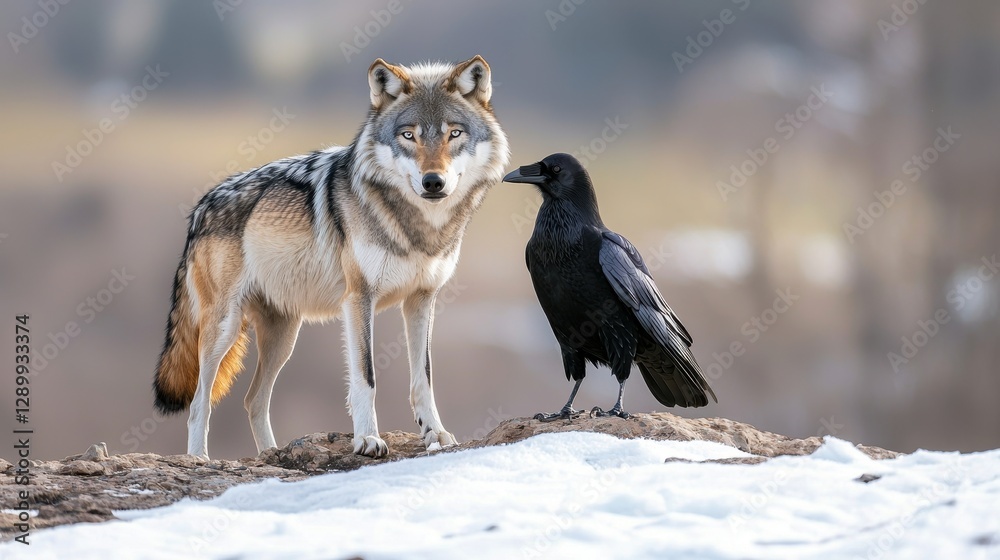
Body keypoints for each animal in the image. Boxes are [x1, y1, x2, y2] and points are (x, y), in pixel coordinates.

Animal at [153, 56, 509, 459]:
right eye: (408, 136)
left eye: (454, 134)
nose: (433, 182)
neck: (420, 229)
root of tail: (201, 207)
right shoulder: (359, 299)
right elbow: (366, 376)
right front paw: (368, 439)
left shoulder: (421, 300)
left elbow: (424, 378)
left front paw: (435, 433)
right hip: (224, 330)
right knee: (201, 401)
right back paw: (199, 457)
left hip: (284, 339)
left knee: (252, 400)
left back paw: (273, 454)